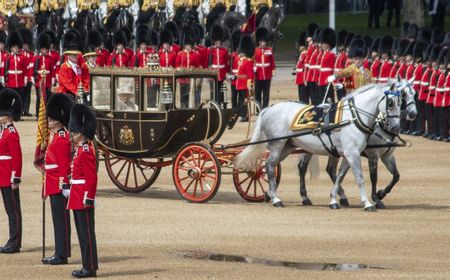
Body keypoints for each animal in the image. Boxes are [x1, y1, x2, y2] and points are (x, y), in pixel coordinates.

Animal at [236, 84, 404, 211]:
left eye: (401, 102)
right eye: (390, 103)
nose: (396, 127)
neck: (354, 117)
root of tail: (269, 108)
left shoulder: (350, 154)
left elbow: (340, 176)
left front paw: (334, 200)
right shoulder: (357, 154)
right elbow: (361, 178)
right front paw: (368, 202)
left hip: (287, 147)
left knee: (270, 166)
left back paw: (270, 194)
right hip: (278, 144)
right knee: (271, 166)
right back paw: (276, 199)